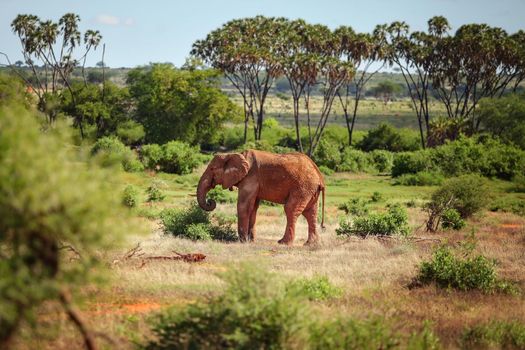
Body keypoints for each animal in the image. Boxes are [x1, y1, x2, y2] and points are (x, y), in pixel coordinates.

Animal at [196, 149, 324, 245]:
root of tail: (319, 175)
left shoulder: (251, 178)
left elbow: (243, 206)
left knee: (291, 209)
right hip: (310, 190)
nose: (210, 201)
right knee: (311, 213)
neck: (235, 154)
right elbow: (253, 208)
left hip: (302, 187)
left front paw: (242, 241)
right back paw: (310, 244)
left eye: (212, 169)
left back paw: (283, 243)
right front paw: (251, 241)